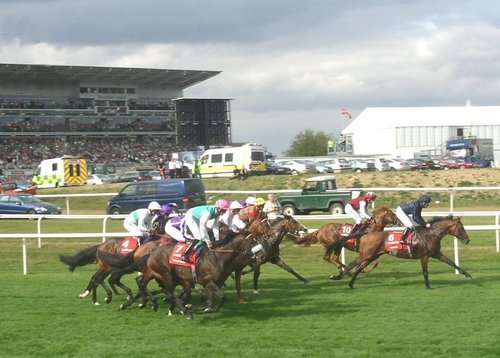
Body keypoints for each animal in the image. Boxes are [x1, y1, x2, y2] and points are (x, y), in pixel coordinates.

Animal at [332, 215, 472, 288]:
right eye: (461, 228)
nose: (467, 240)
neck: (431, 234)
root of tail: (365, 234)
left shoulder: (436, 254)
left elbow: (452, 263)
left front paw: (467, 274)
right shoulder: (425, 256)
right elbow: (425, 272)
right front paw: (428, 286)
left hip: (372, 256)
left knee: (359, 268)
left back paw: (350, 284)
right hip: (366, 255)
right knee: (351, 265)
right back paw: (337, 277)